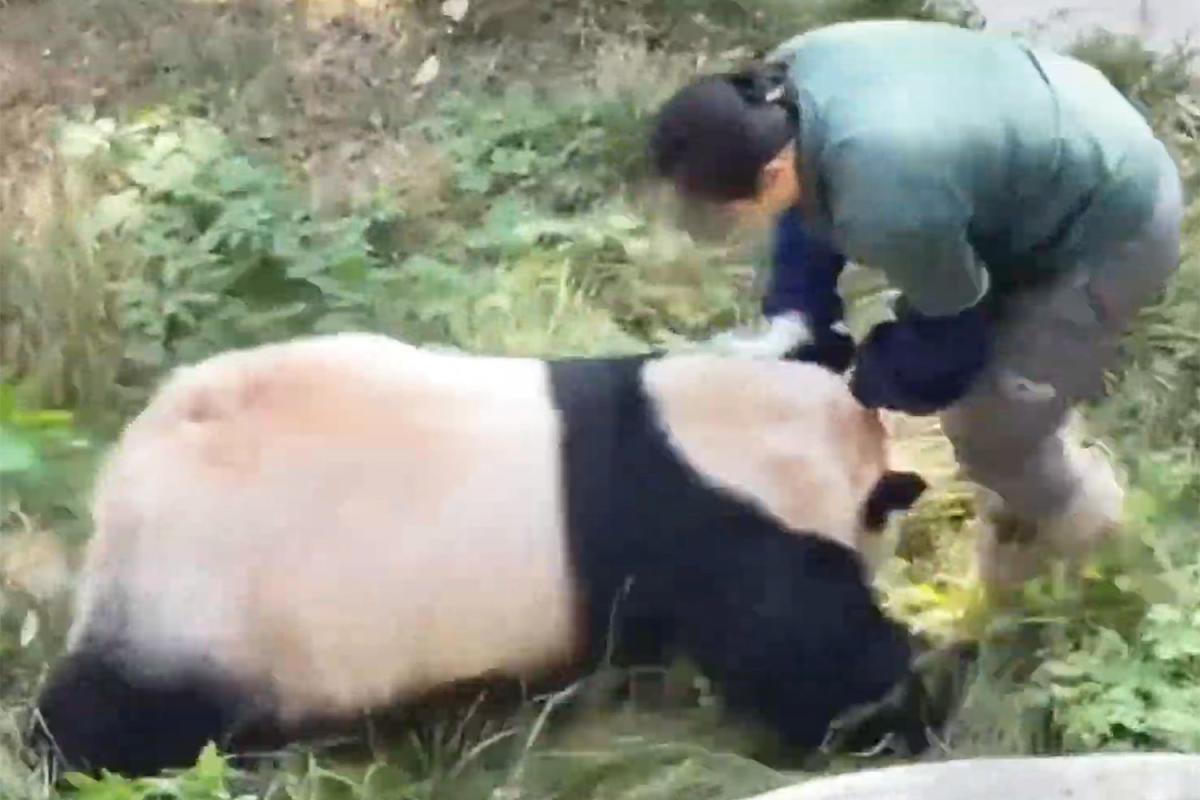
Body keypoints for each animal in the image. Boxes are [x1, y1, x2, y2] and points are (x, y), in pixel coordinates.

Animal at [30, 331, 926, 777]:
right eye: (880, 532)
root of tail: (122, 485)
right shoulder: (712, 524)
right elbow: (807, 656)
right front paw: (906, 708)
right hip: (213, 595)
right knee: (127, 711)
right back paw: (71, 763)